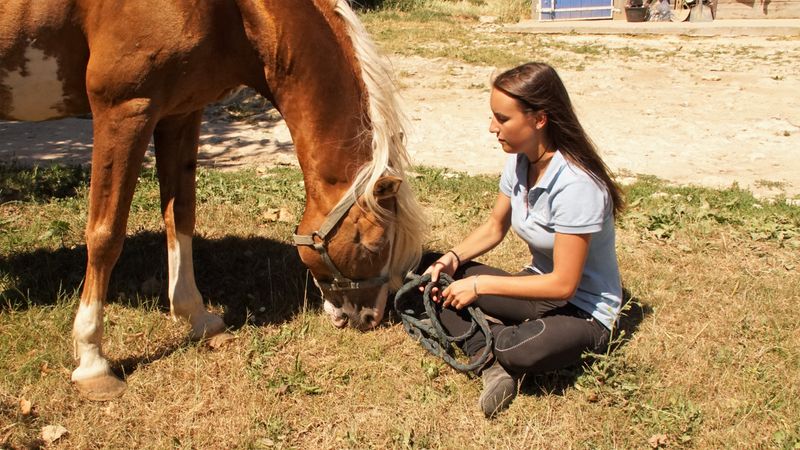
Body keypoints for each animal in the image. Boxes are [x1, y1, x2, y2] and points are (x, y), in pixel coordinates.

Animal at [1, 0, 424, 400]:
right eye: (373, 244)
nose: (371, 317)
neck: (233, 13)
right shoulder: (124, 109)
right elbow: (106, 235)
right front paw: (92, 360)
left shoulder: (181, 112)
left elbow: (181, 215)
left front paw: (196, 316)